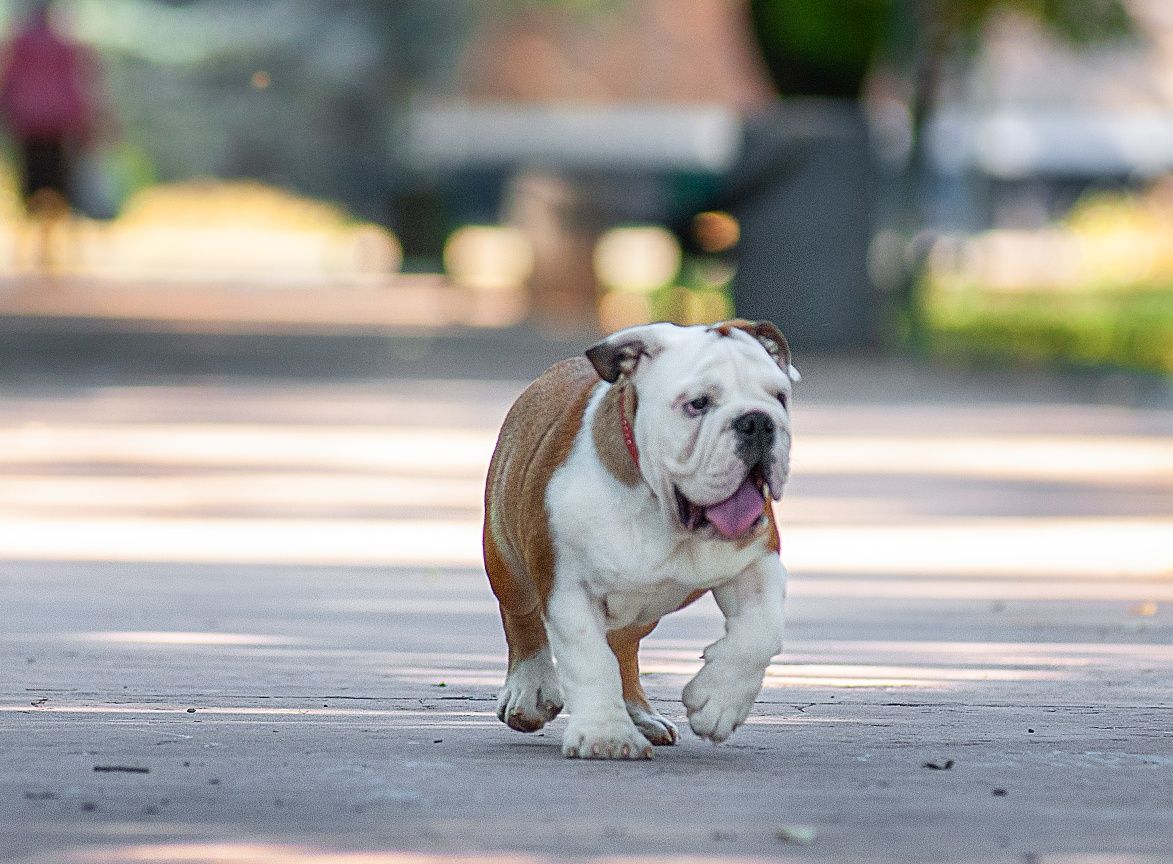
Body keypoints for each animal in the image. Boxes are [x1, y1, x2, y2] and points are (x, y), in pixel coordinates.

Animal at [478, 316, 797, 754]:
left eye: (780, 398)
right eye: (697, 404)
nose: (757, 421)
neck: (660, 506)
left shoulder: (758, 558)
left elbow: (761, 632)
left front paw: (718, 702)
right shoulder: (567, 584)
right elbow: (590, 659)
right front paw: (605, 733)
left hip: (643, 612)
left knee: (624, 647)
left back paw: (641, 714)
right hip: (506, 559)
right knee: (522, 616)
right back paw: (530, 689)